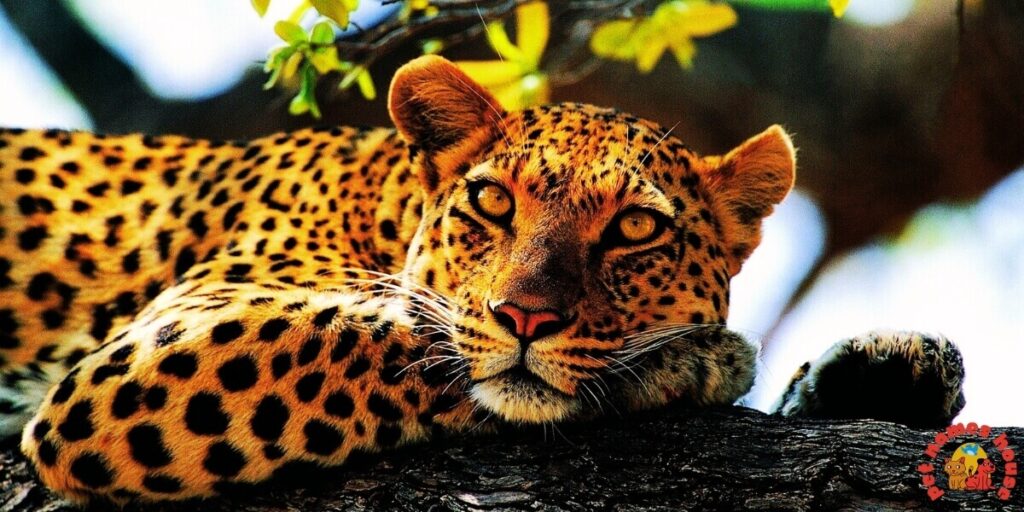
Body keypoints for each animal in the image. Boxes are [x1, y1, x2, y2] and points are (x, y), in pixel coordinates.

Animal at [0, 55, 966, 503]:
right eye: (494, 201)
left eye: (636, 228)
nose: (527, 317)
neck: (377, 205)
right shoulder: (152, 355)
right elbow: (408, 344)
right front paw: (697, 358)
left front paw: (883, 369)